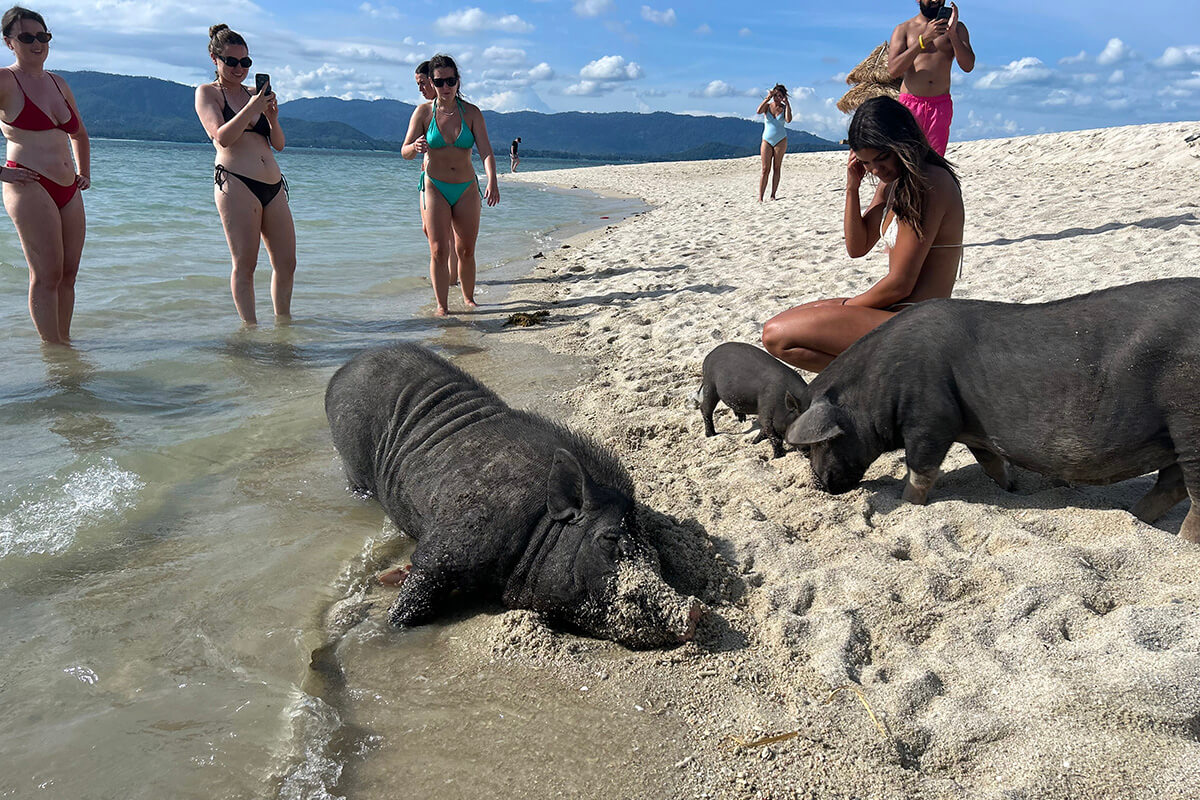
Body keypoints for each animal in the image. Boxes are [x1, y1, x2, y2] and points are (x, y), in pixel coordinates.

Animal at [325, 343, 703, 648]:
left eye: (652, 551)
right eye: (610, 539)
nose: (694, 610)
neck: (536, 524)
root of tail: (343, 369)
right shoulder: (449, 543)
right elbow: (414, 596)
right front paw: (390, 620)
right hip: (352, 463)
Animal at [785, 279, 1200, 543]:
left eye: (813, 446)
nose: (822, 486)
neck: (875, 387)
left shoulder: (930, 418)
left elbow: (921, 470)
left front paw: (906, 504)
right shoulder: (972, 429)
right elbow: (989, 461)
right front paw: (1014, 490)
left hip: (1188, 420)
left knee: (1191, 494)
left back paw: (1182, 543)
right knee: (1171, 484)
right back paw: (1136, 520)